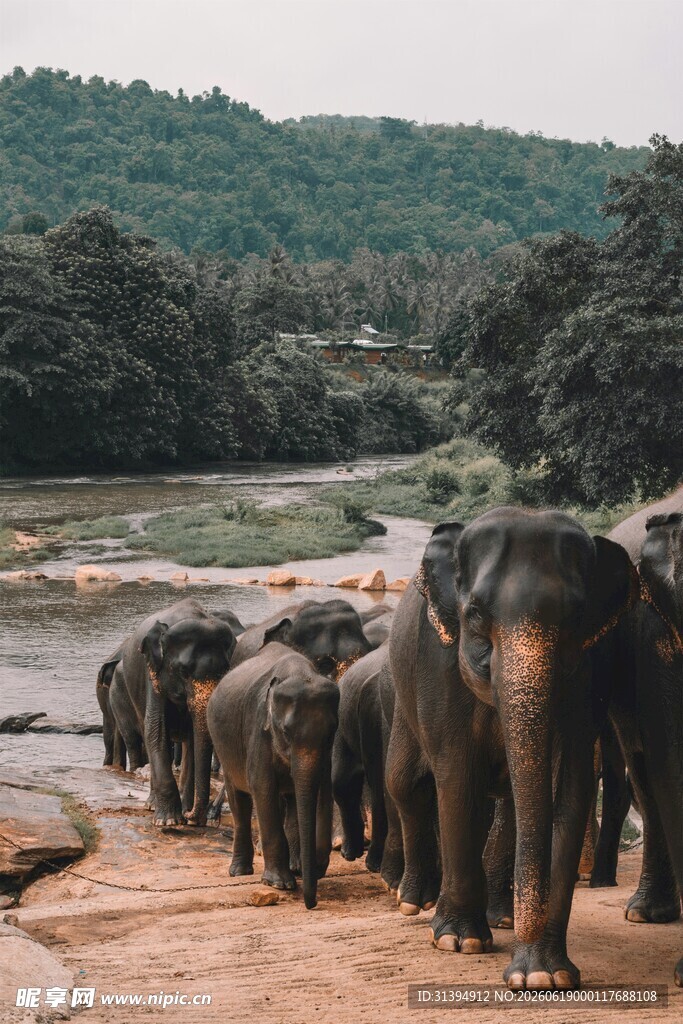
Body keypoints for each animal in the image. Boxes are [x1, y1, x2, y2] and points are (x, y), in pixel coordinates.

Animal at [117, 598, 237, 826]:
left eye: (224, 671)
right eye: (183, 671)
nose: (191, 815)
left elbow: (193, 739)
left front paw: (183, 815)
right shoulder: (152, 674)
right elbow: (156, 731)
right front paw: (169, 822)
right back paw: (152, 805)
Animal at [207, 642, 339, 909]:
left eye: (331, 732)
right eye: (286, 732)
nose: (311, 904)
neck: (300, 672)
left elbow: (315, 791)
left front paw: (306, 869)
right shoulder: (259, 729)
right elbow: (263, 788)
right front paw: (280, 884)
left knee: (289, 800)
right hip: (224, 747)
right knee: (239, 799)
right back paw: (239, 872)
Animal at [385, 508, 636, 990]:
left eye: (576, 616)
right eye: (475, 614)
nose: (526, 929)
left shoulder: (592, 671)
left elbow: (569, 790)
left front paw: (544, 975)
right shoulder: (437, 664)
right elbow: (457, 779)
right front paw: (459, 942)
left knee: (509, 805)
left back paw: (501, 917)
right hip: (402, 694)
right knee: (405, 783)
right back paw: (415, 903)